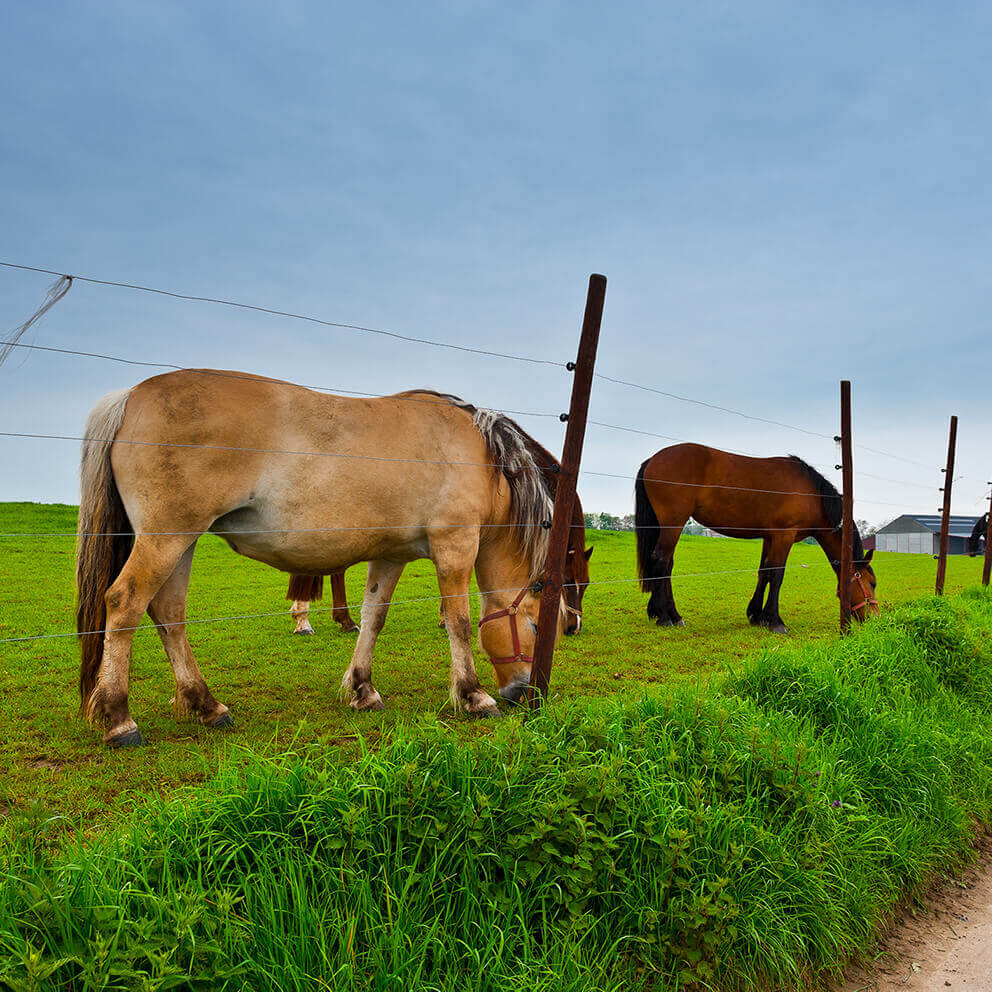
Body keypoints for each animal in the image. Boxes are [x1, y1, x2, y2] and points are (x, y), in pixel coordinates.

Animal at [77, 372, 564, 744]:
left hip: (180, 542)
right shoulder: (455, 545)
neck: (482, 458)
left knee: (168, 613)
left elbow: (373, 617)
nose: (523, 692)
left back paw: (206, 704)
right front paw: (472, 695)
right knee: (124, 604)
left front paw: (363, 688)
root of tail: (130, 397)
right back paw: (120, 718)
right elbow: (460, 621)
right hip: (167, 539)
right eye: (539, 627)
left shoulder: (390, 557)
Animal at [632, 444, 880, 632]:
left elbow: (764, 573)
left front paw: (757, 615)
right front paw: (776, 621)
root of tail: (653, 459)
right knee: (661, 560)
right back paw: (665, 617)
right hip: (673, 523)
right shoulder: (784, 535)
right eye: (872, 583)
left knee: (666, 565)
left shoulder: (770, 537)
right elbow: (777, 575)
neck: (812, 494)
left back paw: (672, 615)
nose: (875, 618)